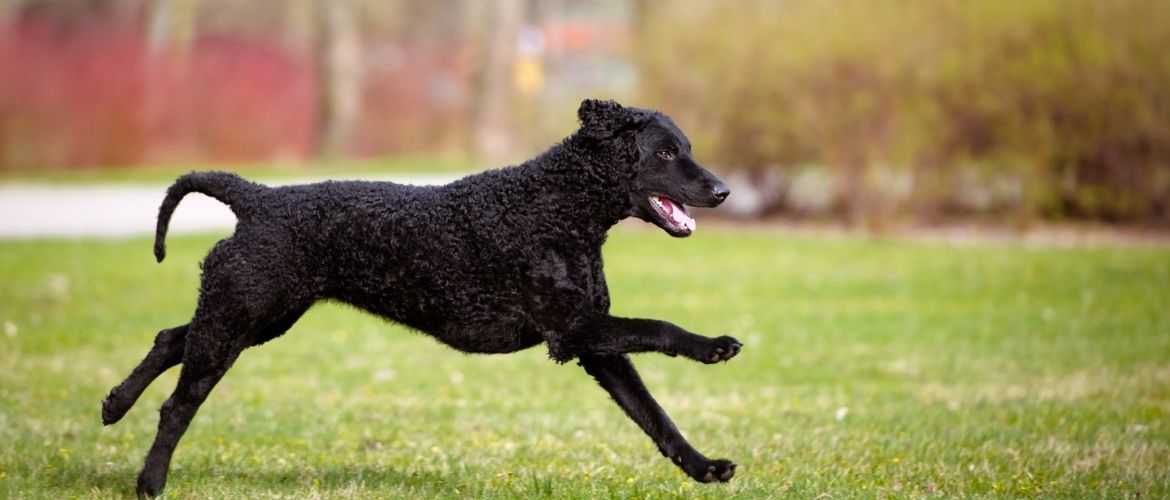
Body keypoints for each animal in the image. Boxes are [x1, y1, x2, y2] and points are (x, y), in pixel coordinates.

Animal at [102, 98, 739, 496]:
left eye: (686, 147)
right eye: (664, 153)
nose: (724, 191)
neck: (556, 205)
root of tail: (257, 197)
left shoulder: (592, 342)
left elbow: (655, 416)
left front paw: (704, 466)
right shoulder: (573, 329)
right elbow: (661, 328)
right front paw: (712, 346)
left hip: (255, 316)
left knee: (170, 338)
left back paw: (114, 404)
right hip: (240, 316)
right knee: (178, 404)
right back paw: (150, 483)